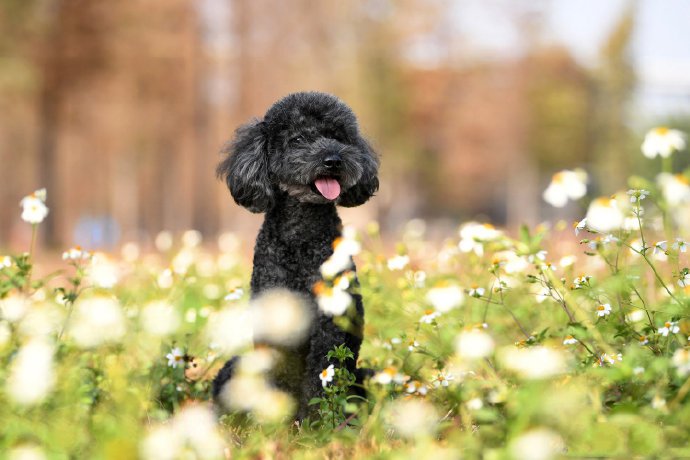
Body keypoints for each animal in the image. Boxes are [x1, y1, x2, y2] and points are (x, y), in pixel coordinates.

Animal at [212, 90, 378, 420]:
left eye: (338, 136)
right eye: (298, 139)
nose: (333, 160)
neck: (302, 238)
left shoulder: (330, 322)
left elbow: (321, 374)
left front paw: (315, 423)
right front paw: (276, 418)